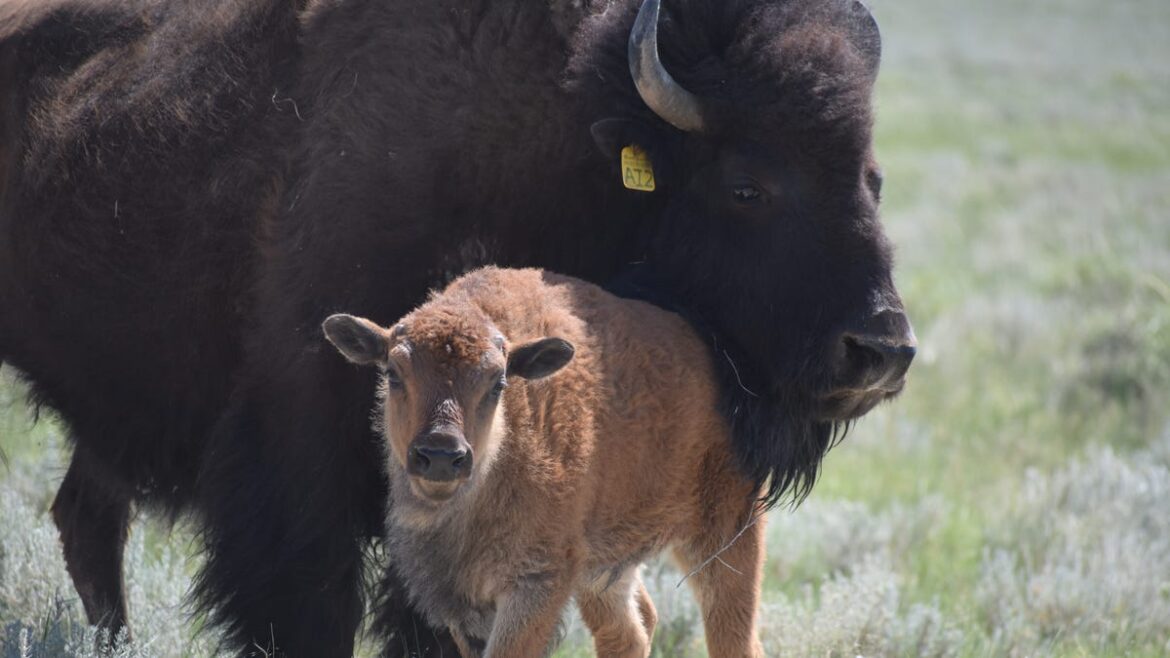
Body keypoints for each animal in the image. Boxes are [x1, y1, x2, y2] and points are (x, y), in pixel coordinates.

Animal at [0, 0, 914, 656]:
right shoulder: (300, 460)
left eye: (872, 179)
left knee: (86, 517)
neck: (560, 136)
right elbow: (312, 605)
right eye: (748, 185)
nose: (881, 350)